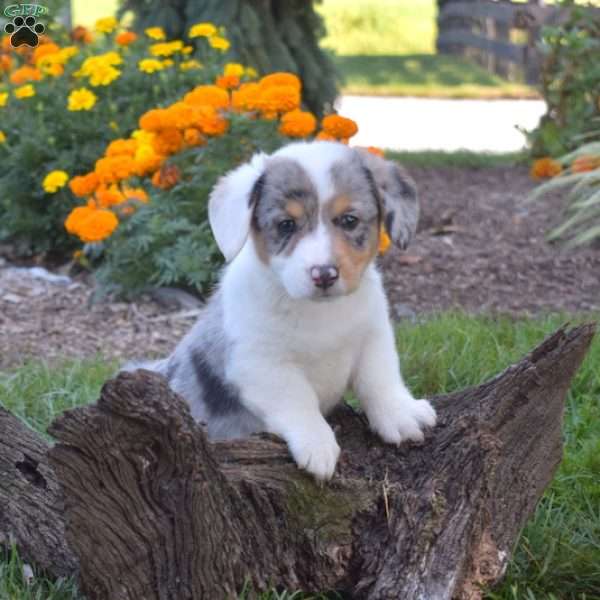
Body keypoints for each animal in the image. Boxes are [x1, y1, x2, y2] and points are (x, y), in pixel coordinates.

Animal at [126, 139, 436, 478]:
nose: (324, 274)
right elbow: (298, 400)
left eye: (349, 220)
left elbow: (380, 378)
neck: (319, 313)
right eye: (286, 225)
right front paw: (318, 446)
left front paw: (401, 415)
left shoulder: (373, 337)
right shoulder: (261, 365)